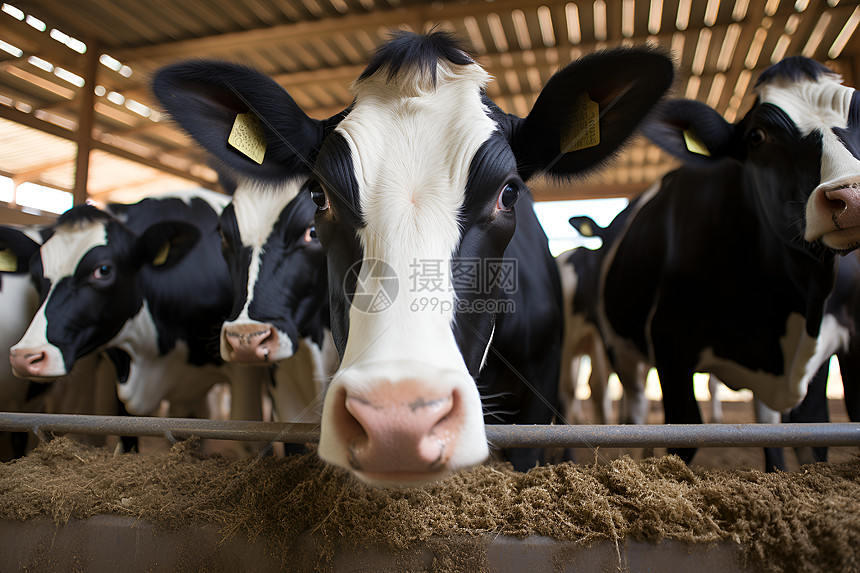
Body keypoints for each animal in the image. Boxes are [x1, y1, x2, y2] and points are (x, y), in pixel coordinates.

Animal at [596, 55, 860, 462]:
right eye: (756, 137)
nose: (851, 197)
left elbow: (813, 435)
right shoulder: (671, 344)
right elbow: (684, 436)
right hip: (621, 348)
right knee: (637, 410)